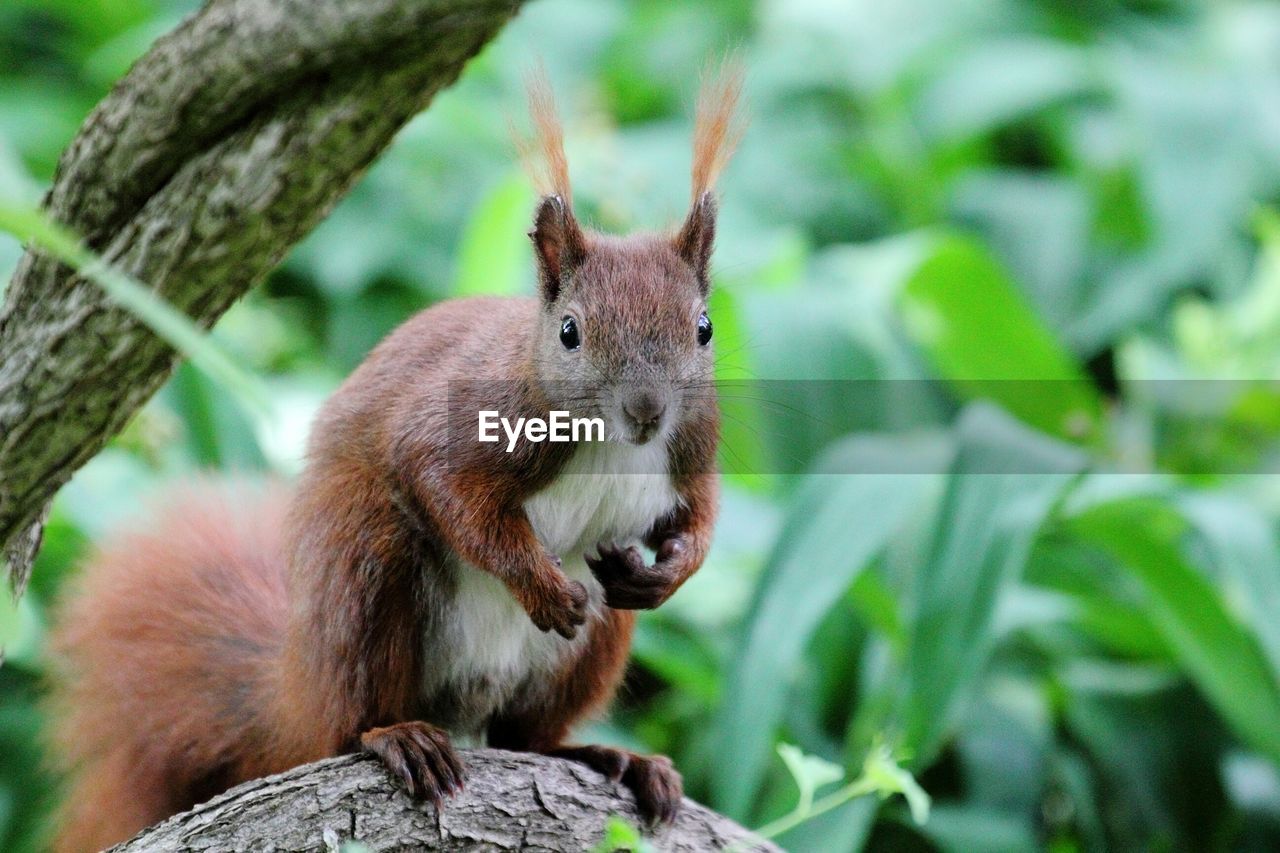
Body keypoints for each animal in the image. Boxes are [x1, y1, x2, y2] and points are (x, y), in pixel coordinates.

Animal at [45, 63, 742, 845]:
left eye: (705, 328)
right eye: (570, 332)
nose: (646, 413)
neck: (608, 445)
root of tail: (303, 681)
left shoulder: (691, 447)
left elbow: (700, 515)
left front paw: (670, 572)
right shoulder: (460, 426)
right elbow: (450, 491)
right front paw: (539, 584)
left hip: (590, 645)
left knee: (526, 735)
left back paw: (605, 756)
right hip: (368, 567)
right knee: (353, 718)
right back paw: (396, 735)